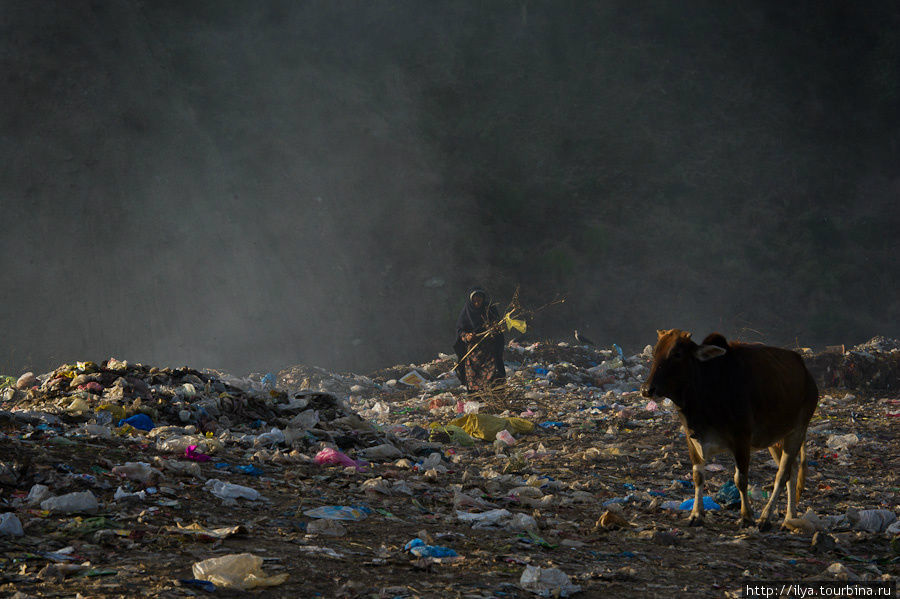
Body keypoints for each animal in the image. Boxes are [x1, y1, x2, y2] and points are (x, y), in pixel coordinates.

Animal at [640, 330, 824, 532]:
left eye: (677, 354)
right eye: (654, 353)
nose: (647, 389)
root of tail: (805, 371)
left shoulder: (741, 439)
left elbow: (741, 479)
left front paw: (746, 516)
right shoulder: (692, 439)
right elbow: (698, 476)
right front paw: (696, 514)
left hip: (797, 430)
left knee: (782, 475)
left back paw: (766, 517)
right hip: (777, 439)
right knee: (791, 471)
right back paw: (790, 517)